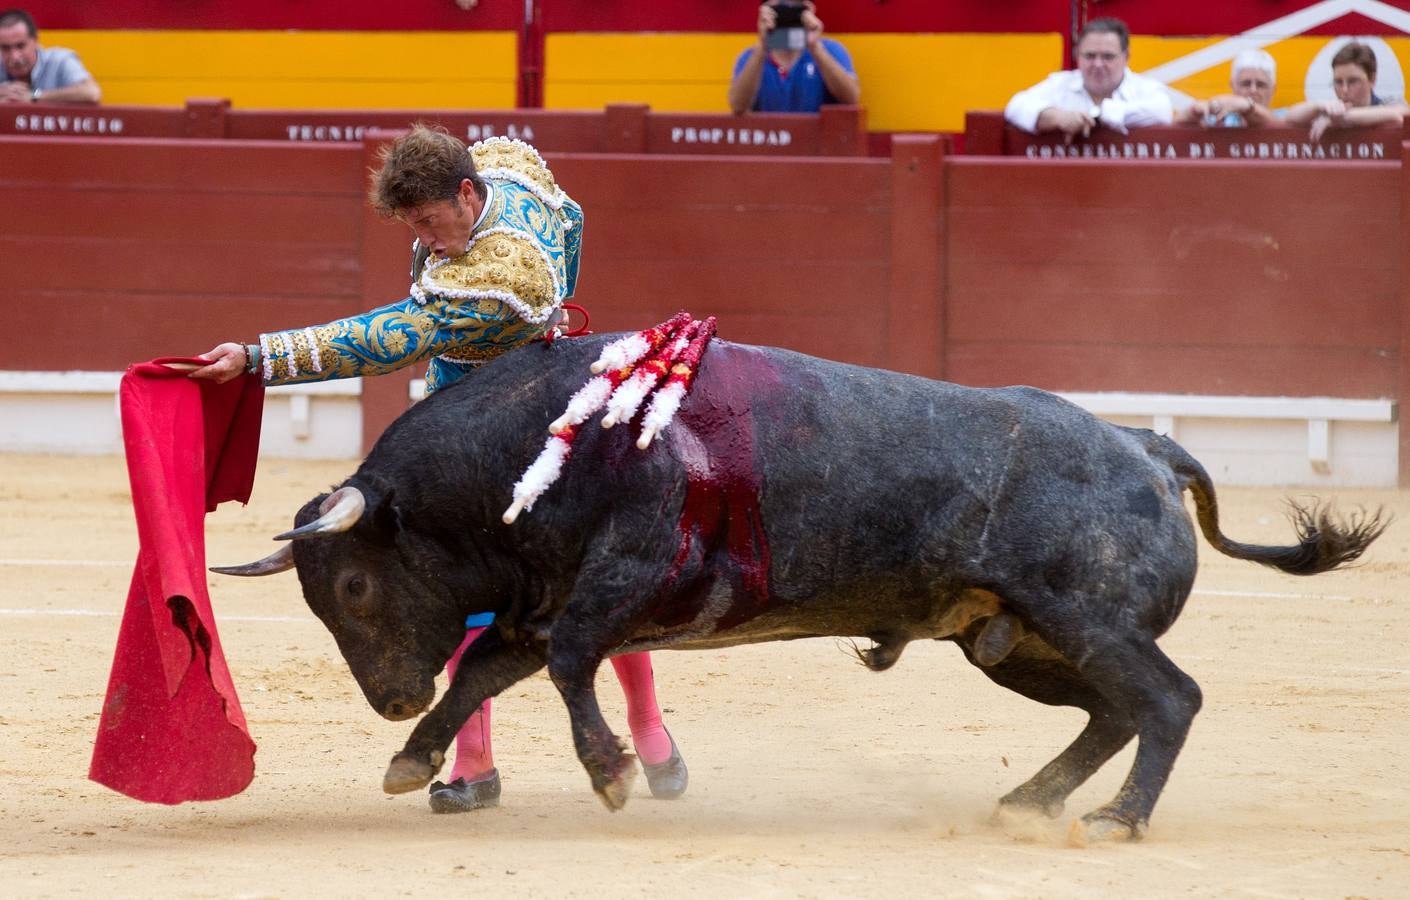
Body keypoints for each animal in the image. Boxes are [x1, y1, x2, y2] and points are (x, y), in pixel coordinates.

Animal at [214, 332, 1381, 846]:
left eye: (355, 583)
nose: (387, 700)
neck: (540, 445)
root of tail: (1144, 445)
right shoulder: (536, 604)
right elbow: (488, 672)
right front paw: (414, 760)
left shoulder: (613, 583)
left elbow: (566, 664)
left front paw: (612, 774)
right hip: (1020, 643)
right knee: (1114, 713)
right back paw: (1032, 801)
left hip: (1084, 618)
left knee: (1168, 700)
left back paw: (1115, 820)